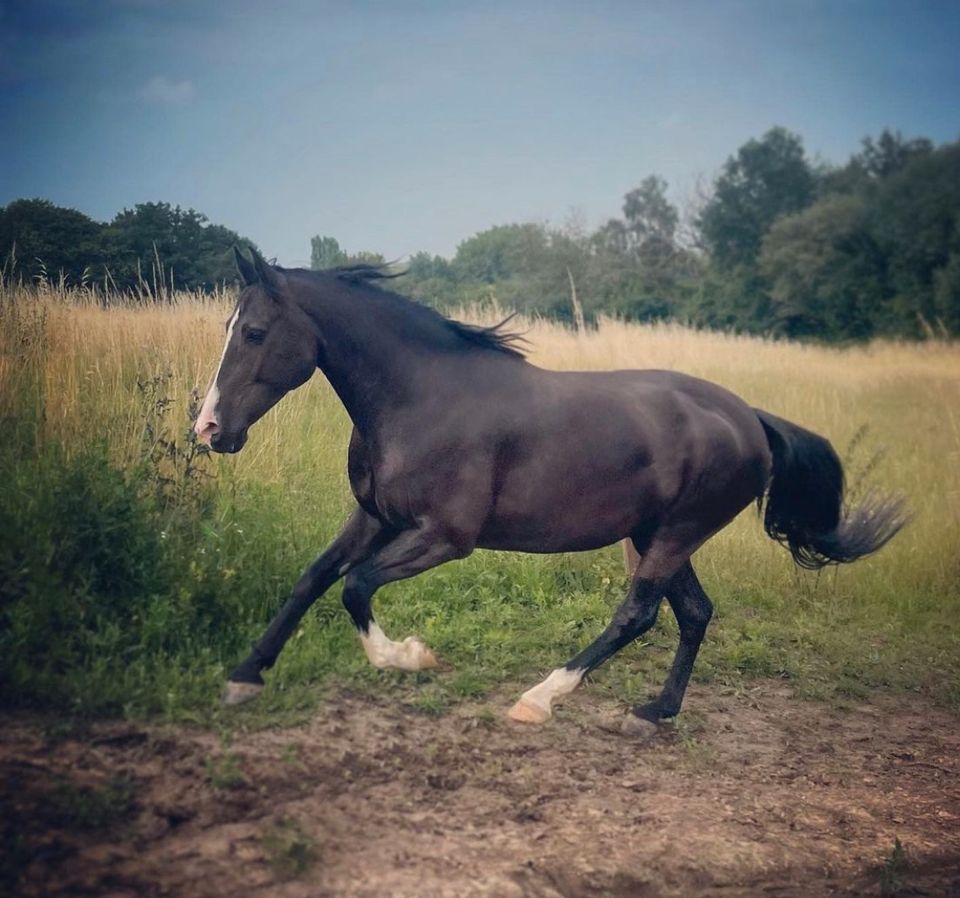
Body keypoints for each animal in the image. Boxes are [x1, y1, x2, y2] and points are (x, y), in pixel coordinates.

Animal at [195, 247, 908, 728]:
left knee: (639, 613)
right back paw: (655, 712)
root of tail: (751, 419)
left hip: (674, 534)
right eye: (227, 328)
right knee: (694, 613)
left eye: (254, 332)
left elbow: (355, 587)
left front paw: (413, 658)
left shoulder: (445, 537)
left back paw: (540, 699)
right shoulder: (374, 516)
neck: (420, 399)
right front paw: (244, 678)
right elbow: (313, 579)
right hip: (658, 532)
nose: (209, 430)